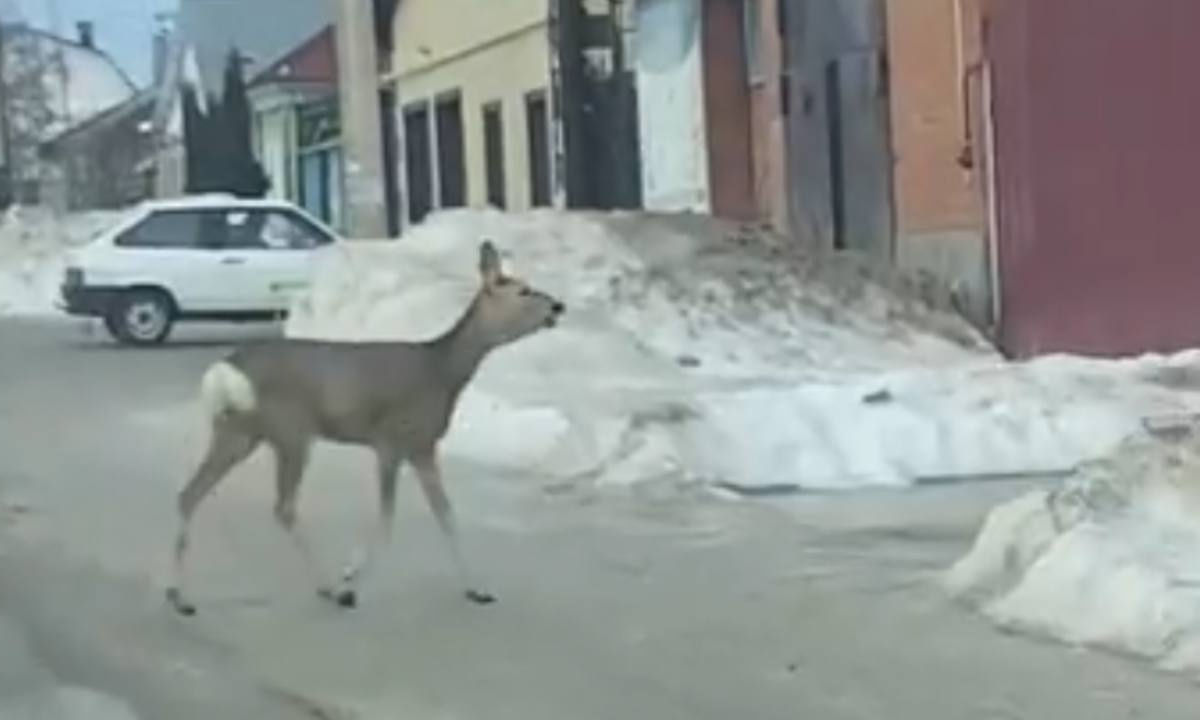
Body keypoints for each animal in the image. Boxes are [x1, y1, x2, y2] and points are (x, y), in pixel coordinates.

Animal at [166, 240, 564, 612]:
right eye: (522, 290)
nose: (558, 306)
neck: (441, 372)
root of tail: (223, 372)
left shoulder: (423, 446)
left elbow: (447, 516)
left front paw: (478, 589)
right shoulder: (389, 441)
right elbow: (388, 520)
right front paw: (350, 580)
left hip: (238, 431)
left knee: (190, 493)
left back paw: (179, 596)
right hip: (291, 432)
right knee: (282, 507)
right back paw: (329, 588)